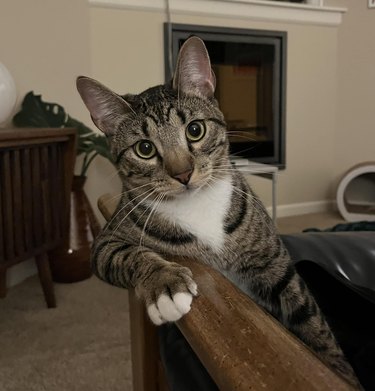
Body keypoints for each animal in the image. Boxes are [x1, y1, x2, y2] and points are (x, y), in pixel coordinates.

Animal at [77, 37, 362, 388]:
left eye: (195, 130)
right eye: (144, 148)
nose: (183, 173)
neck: (197, 204)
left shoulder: (276, 264)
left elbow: (312, 323)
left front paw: (340, 373)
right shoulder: (108, 237)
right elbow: (125, 254)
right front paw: (165, 285)